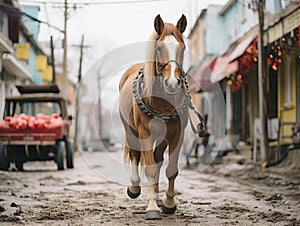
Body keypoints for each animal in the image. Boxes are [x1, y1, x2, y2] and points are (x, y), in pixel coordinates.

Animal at [118, 14, 205, 219]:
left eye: (182, 47)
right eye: (159, 48)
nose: (172, 83)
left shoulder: (176, 135)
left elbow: (170, 169)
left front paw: (168, 203)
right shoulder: (145, 134)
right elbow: (149, 168)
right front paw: (151, 207)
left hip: (162, 137)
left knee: (157, 159)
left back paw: (157, 196)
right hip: (131, 131)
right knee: (136, 155)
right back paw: (134, 188)